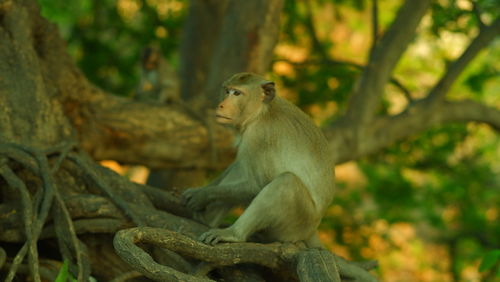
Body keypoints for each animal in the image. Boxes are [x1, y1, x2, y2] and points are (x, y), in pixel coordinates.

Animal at [182, 72, 334, 247]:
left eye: (237, 93)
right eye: (227, 91)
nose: (221, 105)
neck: (261, 112)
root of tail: (313, 229)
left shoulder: (259, 137)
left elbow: (258, 185)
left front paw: (202, 195)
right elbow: (239, 166)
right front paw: (198, 191)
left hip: (298, 224)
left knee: (285, 183)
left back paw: (234, 234)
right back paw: (208, 219)